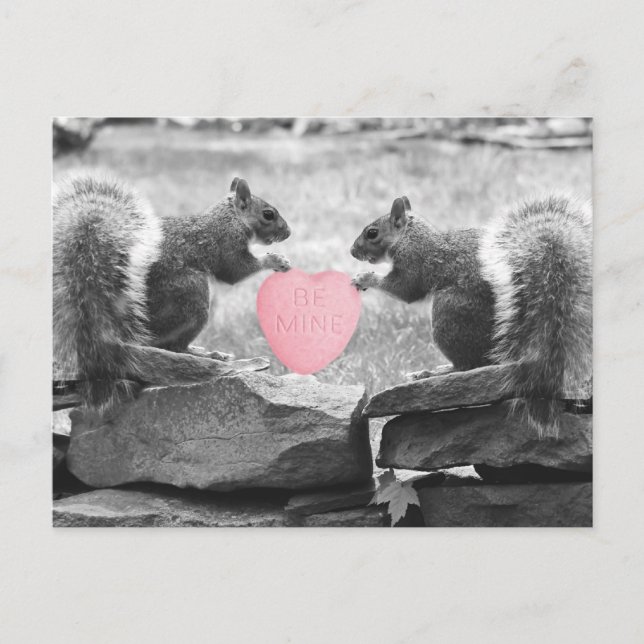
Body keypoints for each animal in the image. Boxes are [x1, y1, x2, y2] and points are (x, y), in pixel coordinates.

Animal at [53, 174, 292, 411]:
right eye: (268, 214)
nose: (289, 232)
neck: (229, 217)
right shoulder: (226, 244)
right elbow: (236, 271)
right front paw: (276, 260)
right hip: (191, 294)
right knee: (172, 345)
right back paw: (202, 353)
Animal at [350, 194, 592, 436]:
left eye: (372, 233)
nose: (352, 251)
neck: (410, 235)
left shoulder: (414, 261)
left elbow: (404, 289)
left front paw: (364, 277)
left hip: (449, 313)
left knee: (468, 366)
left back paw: (435, 373)